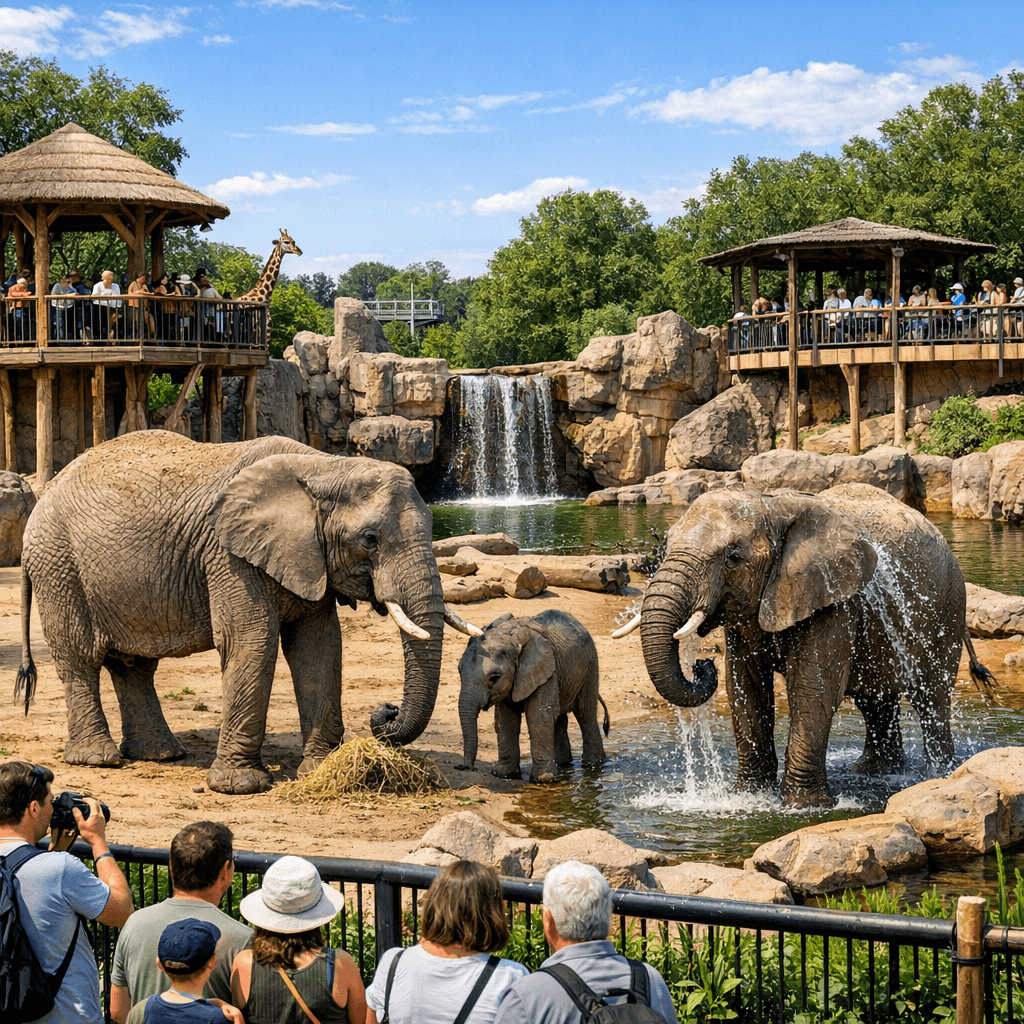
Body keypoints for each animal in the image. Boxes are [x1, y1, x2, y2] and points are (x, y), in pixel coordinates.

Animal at [15, 430, 481, 794]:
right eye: (369, 539)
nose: (386, 712)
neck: (324, 468)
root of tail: (44, 492)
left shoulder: (307, 557)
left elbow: (319, 647)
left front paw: (319, 770)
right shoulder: (228, 555)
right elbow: (252, 641)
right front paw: (239, 787)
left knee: (134, 665)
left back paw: (162, 755)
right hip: (58, 564)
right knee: (80, 658)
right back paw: (98, 759)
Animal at [454, 609, 609, 783]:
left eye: (494, 677)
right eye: (459, 671)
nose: (466, 767)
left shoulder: (546, 669)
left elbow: (537, 716)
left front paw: (543, 780)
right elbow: (506, 719)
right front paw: (504, 774)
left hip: (589, 666)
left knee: (585, 715)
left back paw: (593, 766)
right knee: (560, 718)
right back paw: (564, 765)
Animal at [615, 483, 994, 808]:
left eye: (732, 558)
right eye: (665, 547)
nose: (700, 665)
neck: (770, 504)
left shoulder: (834, 598)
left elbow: (812, 688)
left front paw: (802, 806)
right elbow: (746, 690)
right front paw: (749, 797)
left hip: (946, 609)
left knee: (931, 697)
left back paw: (938, 774)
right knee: (875, 700)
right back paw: (874, 772)